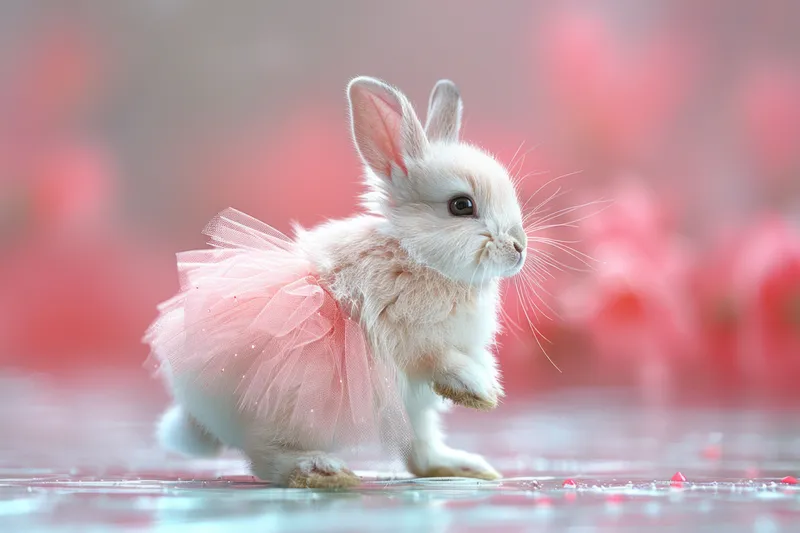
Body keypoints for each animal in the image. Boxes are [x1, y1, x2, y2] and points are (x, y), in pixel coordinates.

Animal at [144, 76, 528, 488]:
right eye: (461, 205)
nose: (520, 248)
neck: (417, 255)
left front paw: (488, 391)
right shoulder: (407, 338)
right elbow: (440, 360)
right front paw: (480, 390)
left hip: (409, 412)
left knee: (420, 452)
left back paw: (466, 467)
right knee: (266, 457)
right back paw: (321, 470)